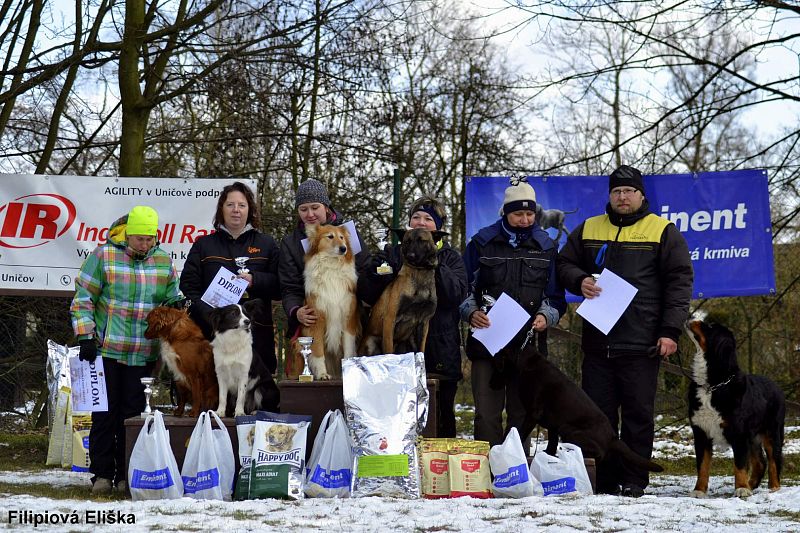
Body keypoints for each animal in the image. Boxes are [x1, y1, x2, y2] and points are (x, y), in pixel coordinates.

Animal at [300, 222, 360, 380]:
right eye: (330, 236)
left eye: (342, 237)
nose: (343, 248)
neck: (332, 267)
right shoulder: (317, 321)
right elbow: (318, 352)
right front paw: (322, 374)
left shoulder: (348, 319)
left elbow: (348, 349)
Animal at [360, 228, 440, 356]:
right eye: (407, 242)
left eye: (422, 241)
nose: (411, 256)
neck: (420, 274)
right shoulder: (390, 320)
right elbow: (388, 350)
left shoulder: (424, 323)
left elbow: (421, 350)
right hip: (371, 343)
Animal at [684, 320, 784, 498]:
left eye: (710, 326)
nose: (692, 317)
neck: (712, 384)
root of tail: (776, 386)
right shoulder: (701, 433)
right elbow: (702, 466)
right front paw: (699, 490)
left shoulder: (739, 434)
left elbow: (740, 464)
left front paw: (742, 488)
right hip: (753, 437)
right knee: (760, 463)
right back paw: (752, 484)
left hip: (772, 431)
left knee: (774, 460)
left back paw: (773, 487)